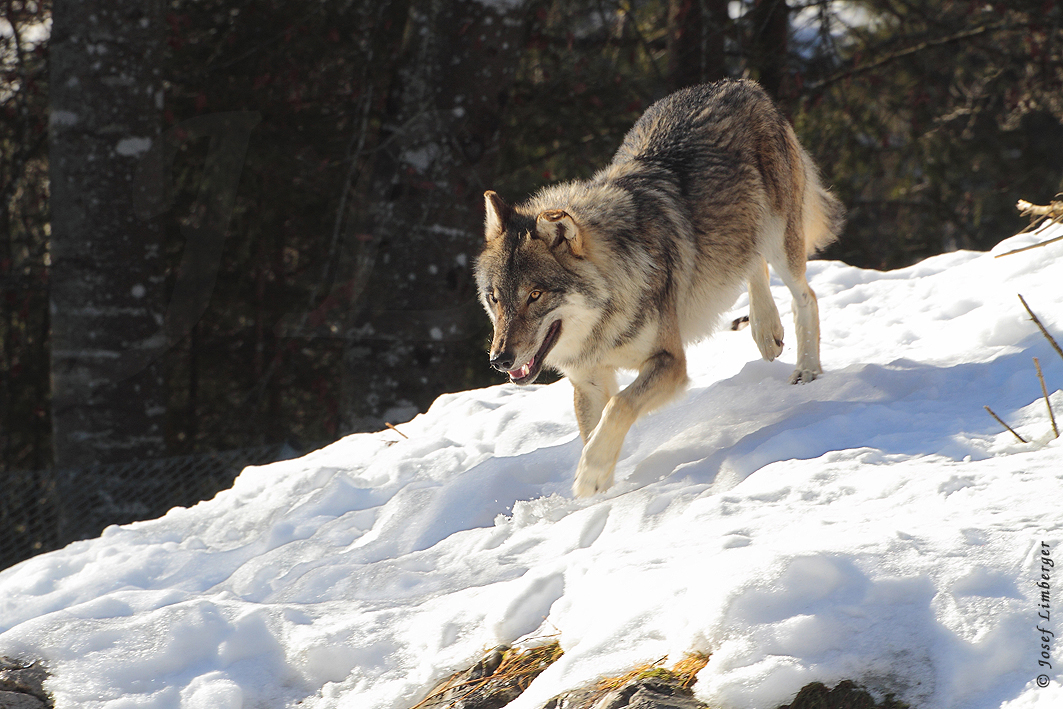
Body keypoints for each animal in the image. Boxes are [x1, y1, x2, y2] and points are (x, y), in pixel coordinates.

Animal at [478, 79, 841, 499]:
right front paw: (595, 494)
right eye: (494, 298)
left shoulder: (670, 362)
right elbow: (594, 428)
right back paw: (767, 333)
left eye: (535, 295)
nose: (499, 360)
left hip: (780, 241)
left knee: (805, 297)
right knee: (754, 268)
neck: (606, 316)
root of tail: (742, 84)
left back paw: (806, 369)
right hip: (740, 235)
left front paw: (589, 475)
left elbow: (618, 407)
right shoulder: (588, 381)